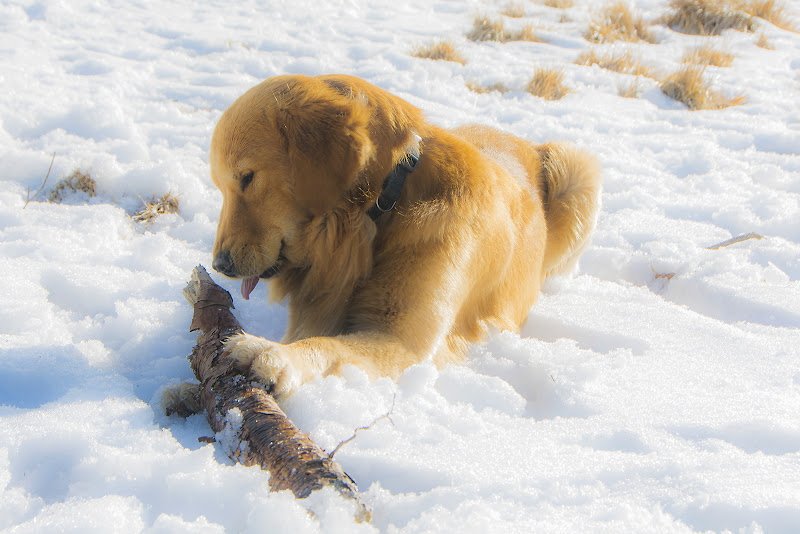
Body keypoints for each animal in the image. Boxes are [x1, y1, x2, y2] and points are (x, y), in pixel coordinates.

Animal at [208, 73, 600, 400]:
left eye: (247, 178)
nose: (219, 265)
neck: (385, 207)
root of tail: (527, 143)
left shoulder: (401, 340)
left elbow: (330, 346)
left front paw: (274, 353)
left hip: (576, 171)